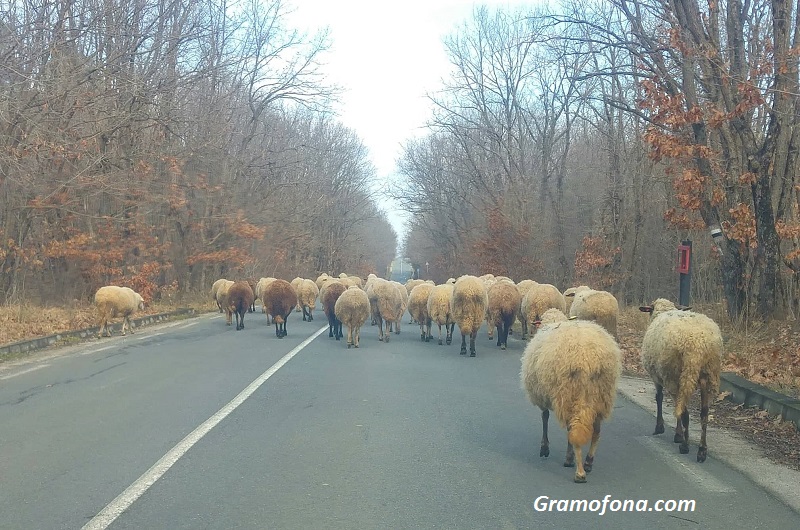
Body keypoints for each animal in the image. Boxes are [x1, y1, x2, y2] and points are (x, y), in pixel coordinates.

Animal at [520, 306, 620, 482]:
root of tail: (589, 359)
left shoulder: (542, 396)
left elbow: (544, 417)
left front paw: (544, 448)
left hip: (569, 394)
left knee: (573, 431)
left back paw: (576, 468)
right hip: (601, 396)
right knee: (596, 431)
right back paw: (588, 462)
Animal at [640, 300, 720, 460]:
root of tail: (697, 345)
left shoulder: (656, 376)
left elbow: (659, 398)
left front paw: (663, 429)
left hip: (677, 375)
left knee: (684, 411)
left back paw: (685, 445)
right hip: (707, 375)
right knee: (704, 412)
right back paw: (702, 450)